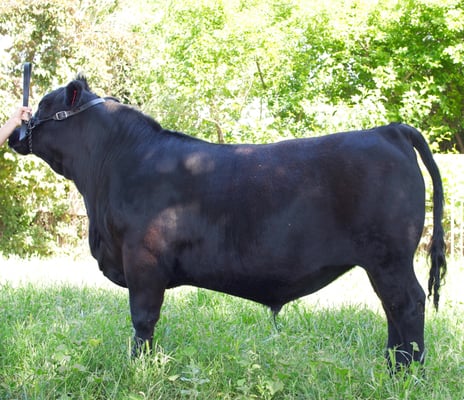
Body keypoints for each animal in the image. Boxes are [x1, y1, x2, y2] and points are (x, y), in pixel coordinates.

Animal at [9, 76, 446, 368]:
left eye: (44, 105)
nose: (14, 132)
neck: (114, 164)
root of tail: (388, 130)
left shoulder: (142, 261)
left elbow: (143, 319)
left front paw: (139, 367)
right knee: (393, 308)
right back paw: (391, 365)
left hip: (389, 257)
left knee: (407, 304)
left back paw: (406, 371)